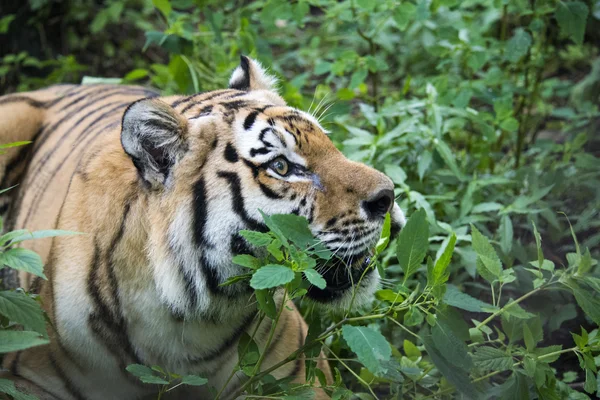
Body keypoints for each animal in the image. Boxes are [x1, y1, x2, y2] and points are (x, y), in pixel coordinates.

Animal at [0, 57, 408, 400]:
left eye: (331, 145)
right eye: (280, 166)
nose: (388, 197)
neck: (182, 323)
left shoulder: (296, 379)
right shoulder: (26, 375)